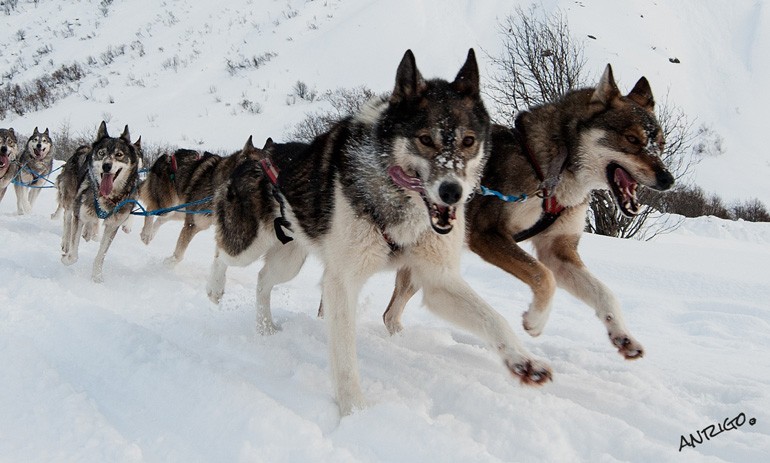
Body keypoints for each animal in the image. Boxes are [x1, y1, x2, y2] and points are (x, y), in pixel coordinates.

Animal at [207, 49, 548, 416]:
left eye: (468, 141)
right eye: (425, 139)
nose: (452, 192)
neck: (399, 200)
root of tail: (252, 158)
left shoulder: (438, 280)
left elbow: (493, 319)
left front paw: (523, 360)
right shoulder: (342, 282)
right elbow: (345, 358)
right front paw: (355, 412)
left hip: (289, 260)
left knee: (263, 280)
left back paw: (266, 328)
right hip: (248, 245)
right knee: (223, 253)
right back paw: (214, 290)